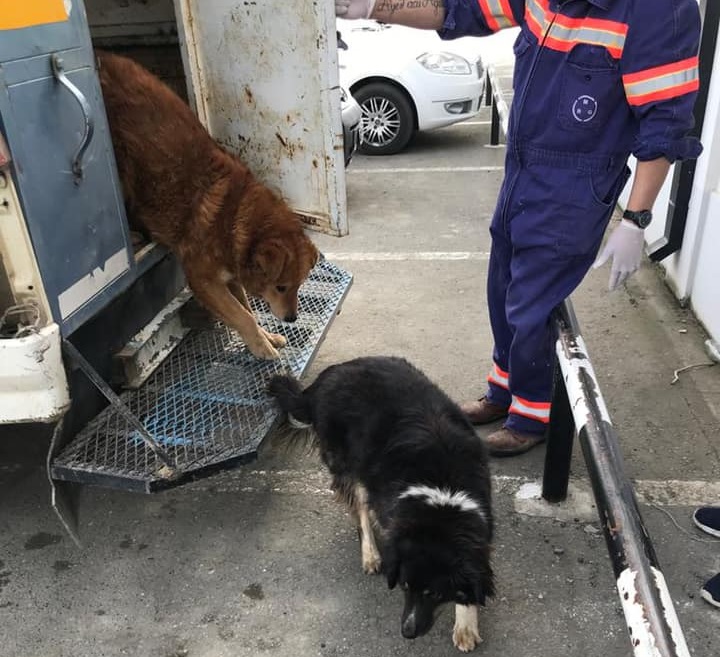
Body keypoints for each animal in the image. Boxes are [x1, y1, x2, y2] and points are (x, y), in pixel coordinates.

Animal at [95, 51, 318, 358]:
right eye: (281, 287)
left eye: (300, 285)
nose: (292, 318)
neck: (234, 215)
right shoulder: (203, 279)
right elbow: (243, 315)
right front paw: (261, 346)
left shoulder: (230, 277)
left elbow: (247, 309)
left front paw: (265, 337)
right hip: (121, 168)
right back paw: (135, 235)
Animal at [268, 356, 496, 648]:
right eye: (404, 586)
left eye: (434, 594)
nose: (407, 632)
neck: (441, 494)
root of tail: (327, 377)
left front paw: (466, 624)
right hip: (349, 463)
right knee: (360, 510)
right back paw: (371, 554)